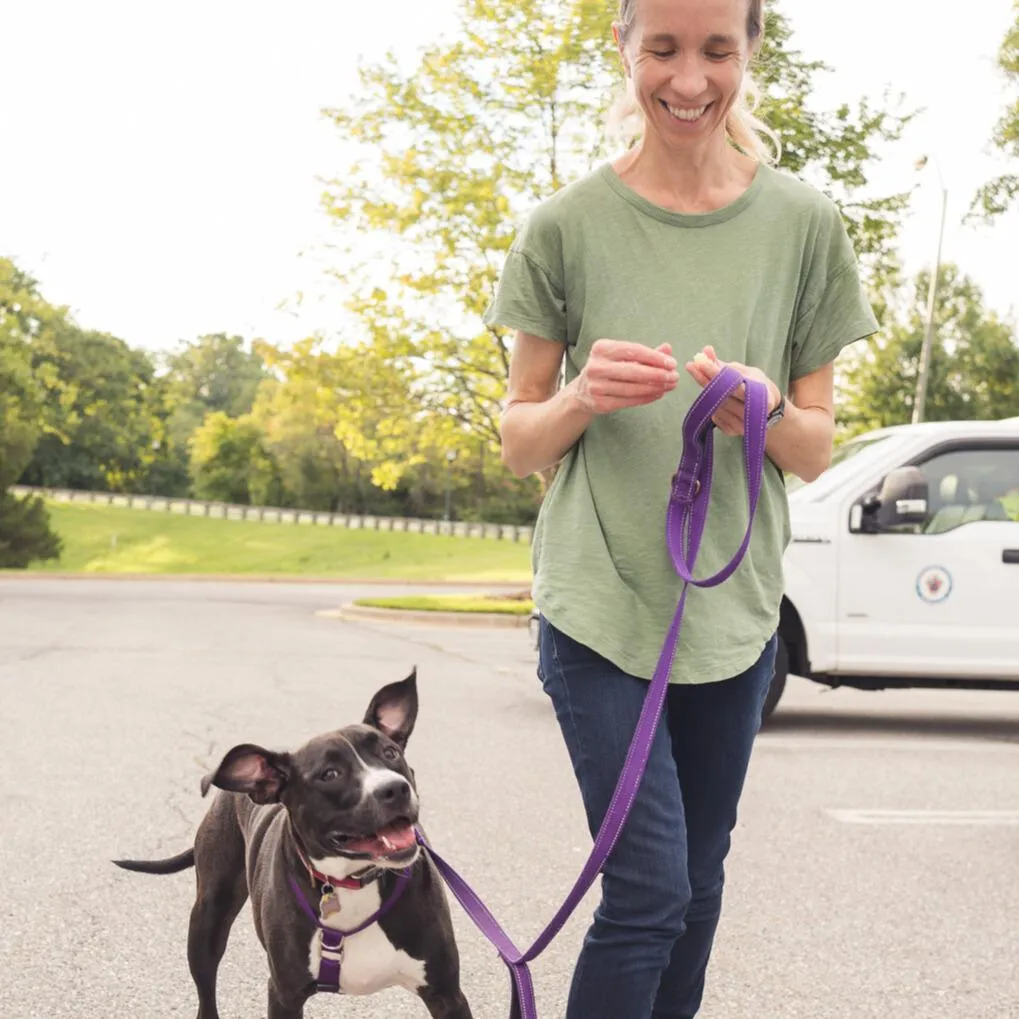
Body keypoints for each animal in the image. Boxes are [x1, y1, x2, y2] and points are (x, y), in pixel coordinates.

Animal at [114, 668, 472, 1019]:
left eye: (390, 753)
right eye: (330, 774)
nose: (395, 789)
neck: (351, 881)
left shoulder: (447, 996)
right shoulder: (284, 995)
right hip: (207, 919)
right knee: (206, 996)